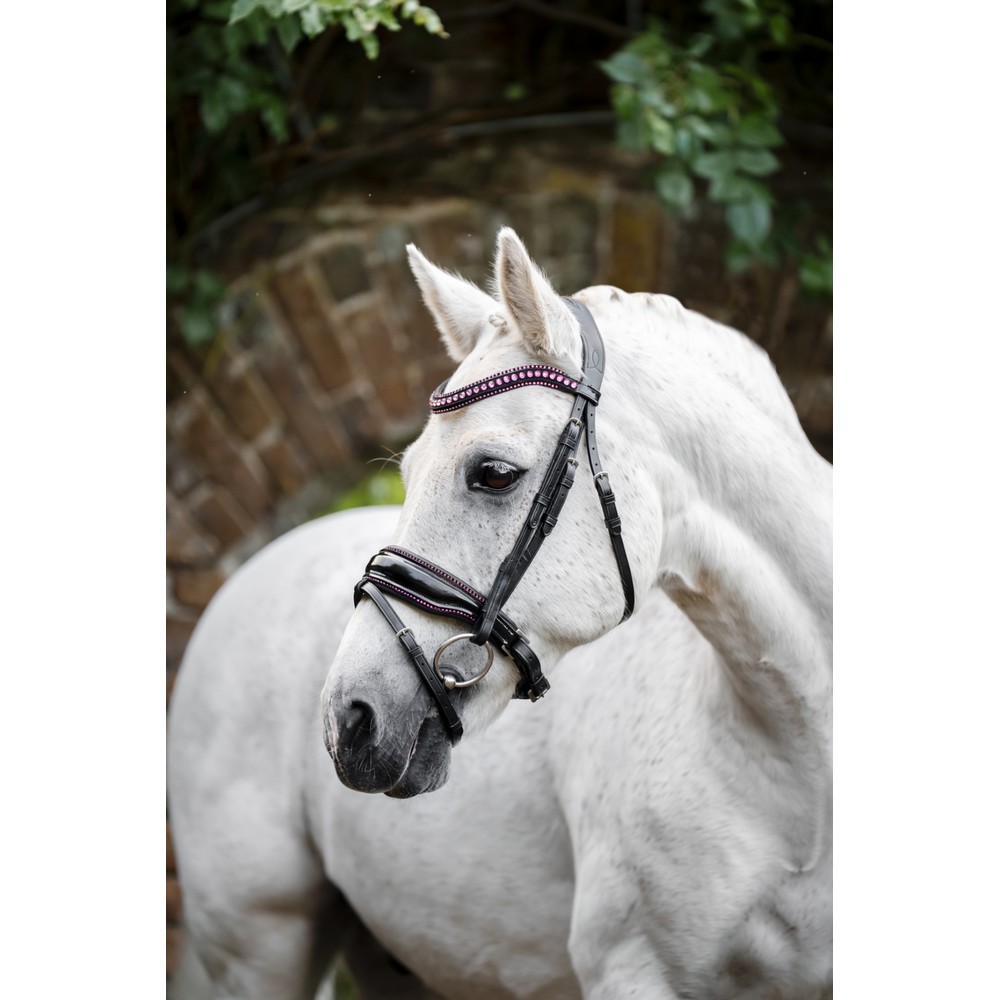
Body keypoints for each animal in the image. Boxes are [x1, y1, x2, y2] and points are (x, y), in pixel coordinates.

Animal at [167, 227, 832, 999]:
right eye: (409, 469)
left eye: (493, 473)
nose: (349, 720)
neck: (800, 760)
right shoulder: (632, 969)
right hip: (259, 945)